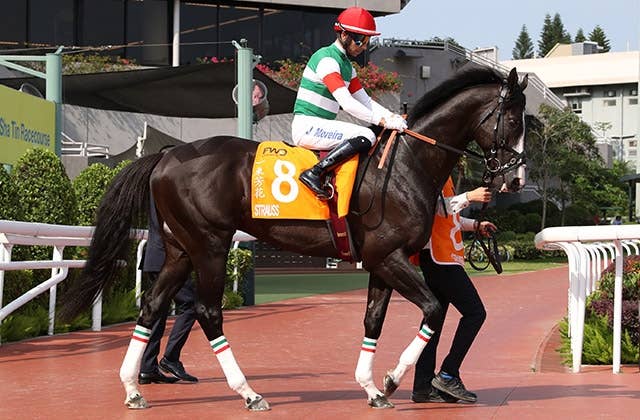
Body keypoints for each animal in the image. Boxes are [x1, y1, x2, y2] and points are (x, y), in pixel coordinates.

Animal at [60, 66, 528, 411]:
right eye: (513, 119)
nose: (516, 179)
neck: (404, 165)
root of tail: (166, 154)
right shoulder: (390, 257)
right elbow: (433, 309)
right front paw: (393, 379)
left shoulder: (381, 262)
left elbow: (373, 321)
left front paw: (372, 387)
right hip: (209, 245)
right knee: (208, 312)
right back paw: (248, 393)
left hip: (180, 249)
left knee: (153, 306)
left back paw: (132, 388)